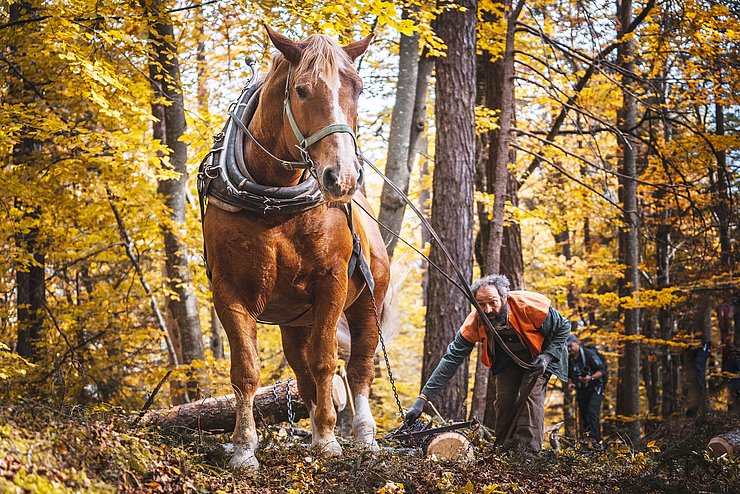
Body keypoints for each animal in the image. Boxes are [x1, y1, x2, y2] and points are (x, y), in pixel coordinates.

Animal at [199, 28, 390, 470]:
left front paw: (328, 439)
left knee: (359, 366)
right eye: (302, 90)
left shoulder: (332, 283)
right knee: (302, 373)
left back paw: (363, 434)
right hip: (296, 321)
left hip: (368, 302)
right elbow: (246, 370)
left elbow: (327, 361)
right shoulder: (228, 291)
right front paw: (244, 448)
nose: (344, 177)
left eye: (357, 88)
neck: (276, 199)